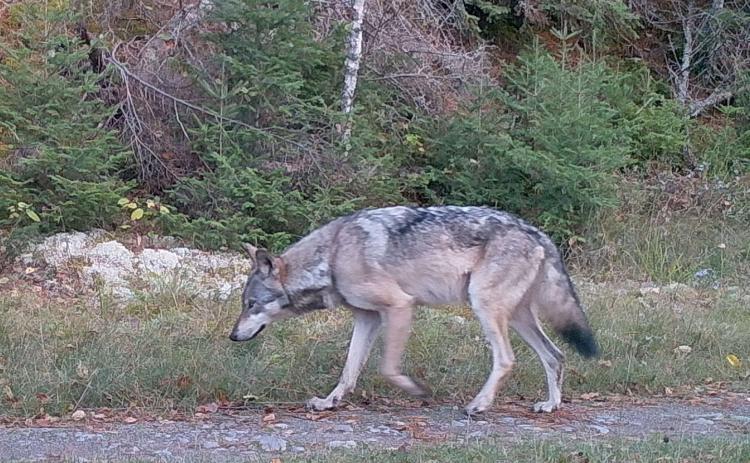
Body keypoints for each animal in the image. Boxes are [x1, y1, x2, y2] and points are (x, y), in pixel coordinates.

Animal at [229, 206, 598, 415]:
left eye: (251, 304)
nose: (232, 336)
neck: (331, 258)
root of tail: (538, 233)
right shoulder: (367, 318)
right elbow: (349, 371)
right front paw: (328, 402)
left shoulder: (399, 306)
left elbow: (387, 368)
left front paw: (417, 391)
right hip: (518, 317)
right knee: (555, 356)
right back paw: (550, 406)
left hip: (485, 307)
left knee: (507, 359)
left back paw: (478, 405)